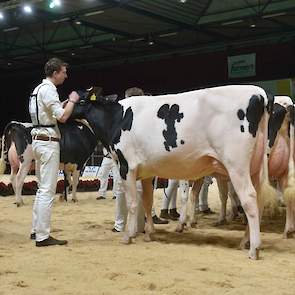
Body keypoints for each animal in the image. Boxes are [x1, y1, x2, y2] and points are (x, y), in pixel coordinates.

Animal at [71, 85, 282, 260]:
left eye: (80, 100)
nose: (65, 105)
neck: (117, 118)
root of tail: (260, 93)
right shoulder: (147, 172)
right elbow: (147, 202)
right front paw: (149, 233)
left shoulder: (126, 167)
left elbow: (132, 203)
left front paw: (128, 236)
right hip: (255, 166)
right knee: (259, 200)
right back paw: (245, 241)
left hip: (236, 165)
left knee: (249, 199)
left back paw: (254, 249)